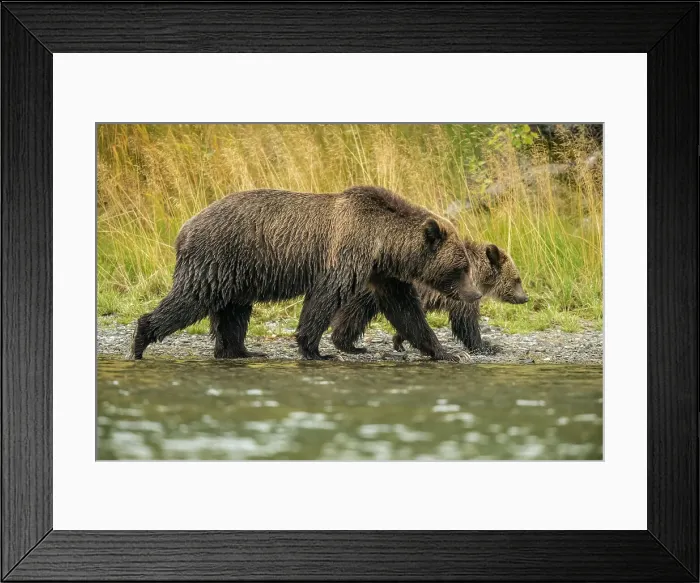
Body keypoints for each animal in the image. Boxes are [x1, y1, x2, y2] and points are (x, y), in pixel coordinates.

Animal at [131, 186, 482, 361]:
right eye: (462, 267)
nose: (476, 293)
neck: (383, 243)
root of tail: (184, 227)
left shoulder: (384, 274)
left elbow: (406, 311)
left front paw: (444, 352)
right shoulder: (346, 254)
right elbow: (324, 299)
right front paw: (315, 350)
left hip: (239, 271)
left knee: (234, 312)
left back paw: (242, 351)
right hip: (217, 258)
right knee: (192, 298)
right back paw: (140, 341)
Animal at [330, 241, 527, 354]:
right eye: (517, 279)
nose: (525, 298)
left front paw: (399, 341)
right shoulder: (464, 291)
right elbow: (465, 321)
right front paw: (487, 346)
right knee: (356, 312)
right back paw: (345, 342)